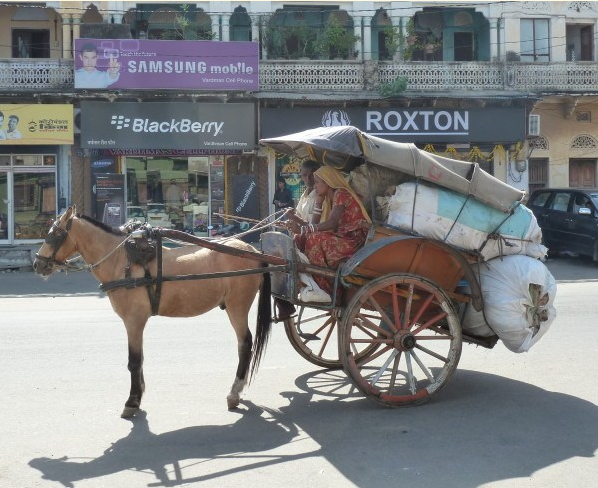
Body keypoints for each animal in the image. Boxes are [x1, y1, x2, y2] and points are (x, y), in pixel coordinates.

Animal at [34, 204, 274, 418]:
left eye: (55, 234)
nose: (37, 264)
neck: (122, 260)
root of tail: (254, 251)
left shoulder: (133, 320)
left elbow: (134, 361)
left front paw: (132, 401)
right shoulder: (135, 322)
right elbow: (139, 359)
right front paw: (139, 394)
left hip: (237, 306)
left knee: (245, 343)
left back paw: (234, 391)